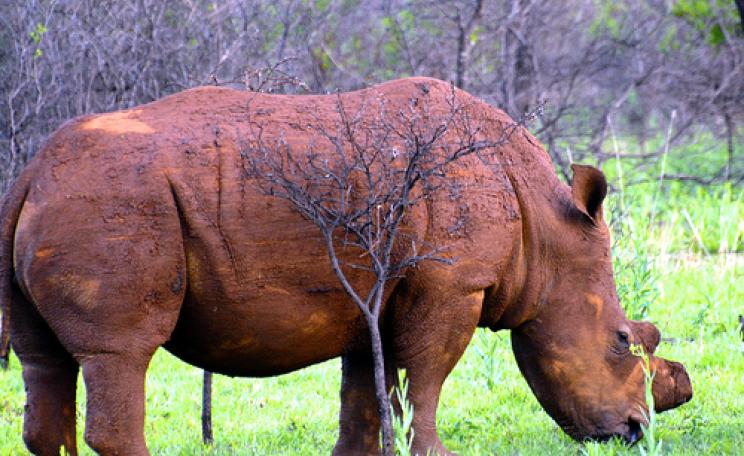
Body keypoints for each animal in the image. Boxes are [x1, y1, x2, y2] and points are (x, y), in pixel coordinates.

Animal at [0, 77, 691, 455]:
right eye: (623, 341)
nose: (636, 431)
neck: (545, 232)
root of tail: (31, 174)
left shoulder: (373, 292)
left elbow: (365, 389)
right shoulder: (451, 282)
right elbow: (426, 377)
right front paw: (437, 452)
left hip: (65, 202)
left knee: (44, 361)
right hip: (115, 202)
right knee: (121, 353)